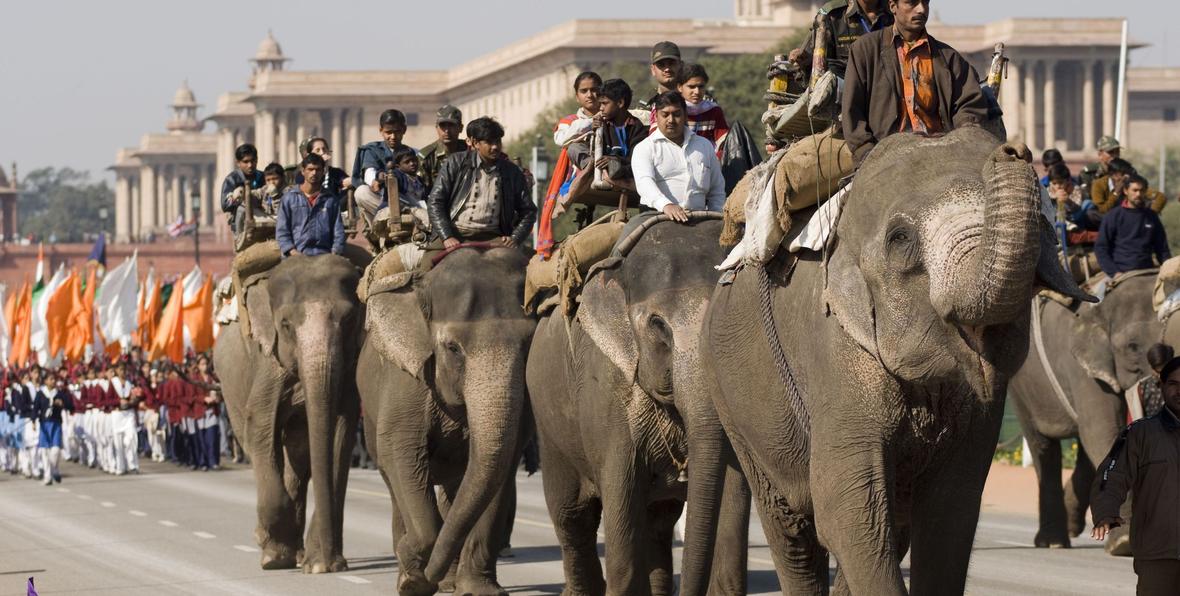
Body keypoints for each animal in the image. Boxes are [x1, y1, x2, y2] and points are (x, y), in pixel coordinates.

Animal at [214, 254, 363, 571]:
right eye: (285, 325)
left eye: (349, 320)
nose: (331, 563)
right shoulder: (267, 360)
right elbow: (259, 426)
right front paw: (271, 552)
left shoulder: (349, 371)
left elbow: (340, 434)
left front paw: (320, 565)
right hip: (230, 387)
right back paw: (279, 553)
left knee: (298, 456)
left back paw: (299, 555)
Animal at [356, 244, 538, 592]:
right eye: (452, 348)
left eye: (528, 346)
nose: (424, 574)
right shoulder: (406, 380)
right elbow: (401, 452)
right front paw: (412, 580)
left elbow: (501, 467)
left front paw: (479, 590)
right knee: (392, 480)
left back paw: (449, 583)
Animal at [531, 215, 750, 594]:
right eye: (658, 325)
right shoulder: (608, 388)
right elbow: (622, 488)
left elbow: (735, 490)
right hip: (547, 417)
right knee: (571, 515)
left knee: (658, 522)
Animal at [698, 126, 1095, 594]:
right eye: (900, 239)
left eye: (1042, 229)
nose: (1014, 148)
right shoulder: (835, 350)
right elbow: (847, 509)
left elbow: (951, 514)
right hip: (731, 397)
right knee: (790, 524)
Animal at [1005, 270, 1161, 552]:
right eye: (1132, 347)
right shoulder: (1080, 366)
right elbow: (1101, 430)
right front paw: (1123, 543)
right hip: (1020, 384)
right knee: (1043, 446)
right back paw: (1053, 542)